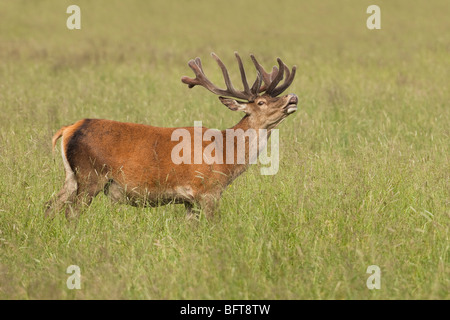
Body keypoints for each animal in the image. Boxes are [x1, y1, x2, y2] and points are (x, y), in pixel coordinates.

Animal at [44, 52, 298, 220]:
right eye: (261, 102)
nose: (292, 97)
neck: (226, 156)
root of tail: (69, 128)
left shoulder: (189, 201)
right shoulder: (208, 191)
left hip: (72, 176)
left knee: (50, 205)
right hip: (91, 174)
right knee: (71, 213)